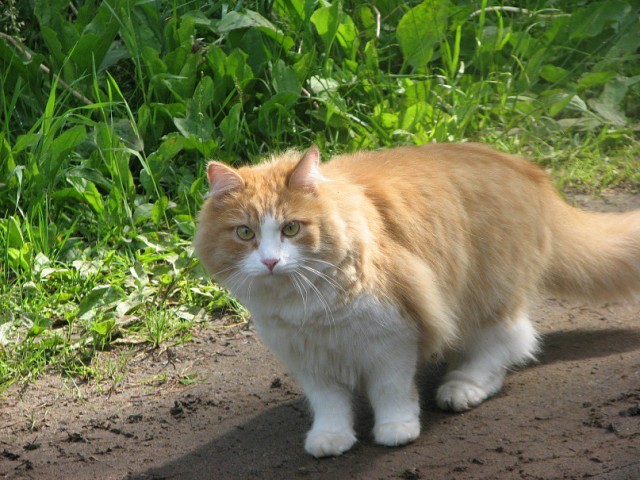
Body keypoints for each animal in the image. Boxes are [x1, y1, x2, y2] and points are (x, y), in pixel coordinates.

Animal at [194, 143, 640, 458]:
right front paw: (331, 438)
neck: (307, 307)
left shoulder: (392, 337)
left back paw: (462, 387)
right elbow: (330, 405)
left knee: (508, 345)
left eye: (291, 228)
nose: (271, 261)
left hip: (487, 296)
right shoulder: (309, 357)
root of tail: (528, 171)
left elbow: (391, 391)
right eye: (245, 233)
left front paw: (397, 429)